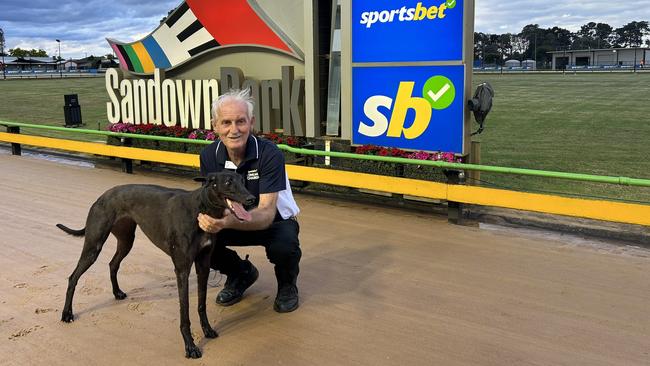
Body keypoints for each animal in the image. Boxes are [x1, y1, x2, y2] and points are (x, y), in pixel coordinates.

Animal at [56, 172, 253, 358]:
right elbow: (184, 313)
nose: (251, 199)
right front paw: (190, 347)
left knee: (112, 264)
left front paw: (207, 330)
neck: (200, 209)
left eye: (243, 180)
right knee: (73, 277)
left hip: (126, 240)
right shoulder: (182, 269)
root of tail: (102, 196)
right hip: (93, 245)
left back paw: (117, 292)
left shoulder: (203, 265)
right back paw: (67, 314)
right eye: (228, 182)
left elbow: (201, 304)